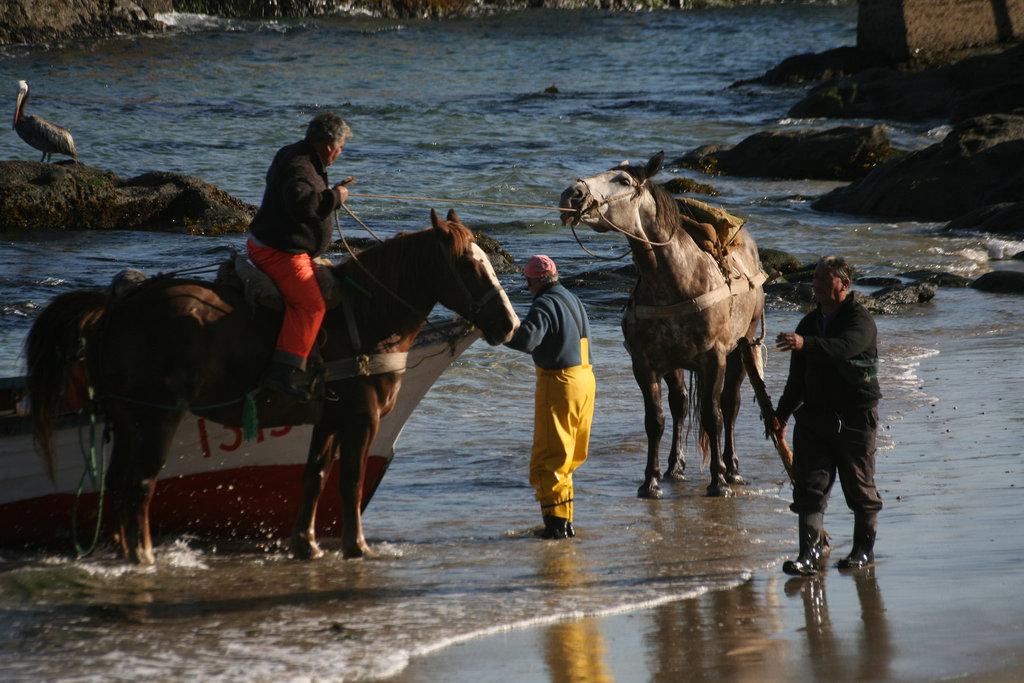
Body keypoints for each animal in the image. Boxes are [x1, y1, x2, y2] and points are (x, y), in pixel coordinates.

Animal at [25, 210, 520, 565]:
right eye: (467, 264)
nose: (509, 323)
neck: (367, 317)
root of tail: (120, 307)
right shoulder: (362, 419)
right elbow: (352, 481)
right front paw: (356, 546)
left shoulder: (330, 419)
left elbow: (315, 477)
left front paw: (307, 544)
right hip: (157, 417)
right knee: (140, 483)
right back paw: (143, 554)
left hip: (126, 418)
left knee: (116, 482)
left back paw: (128, 549)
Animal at [561, 154, 770, 497]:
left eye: (624, 181)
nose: (572, 194)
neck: (676, 280)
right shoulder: (645, 364)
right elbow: (655, 420)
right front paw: (651, 481)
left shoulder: (714, 358)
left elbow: (713, 416)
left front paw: (718, 481)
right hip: (675, 364)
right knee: (680, 405)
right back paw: (676, 467)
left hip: (743, 344)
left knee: (730, 405)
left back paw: (733, 469)